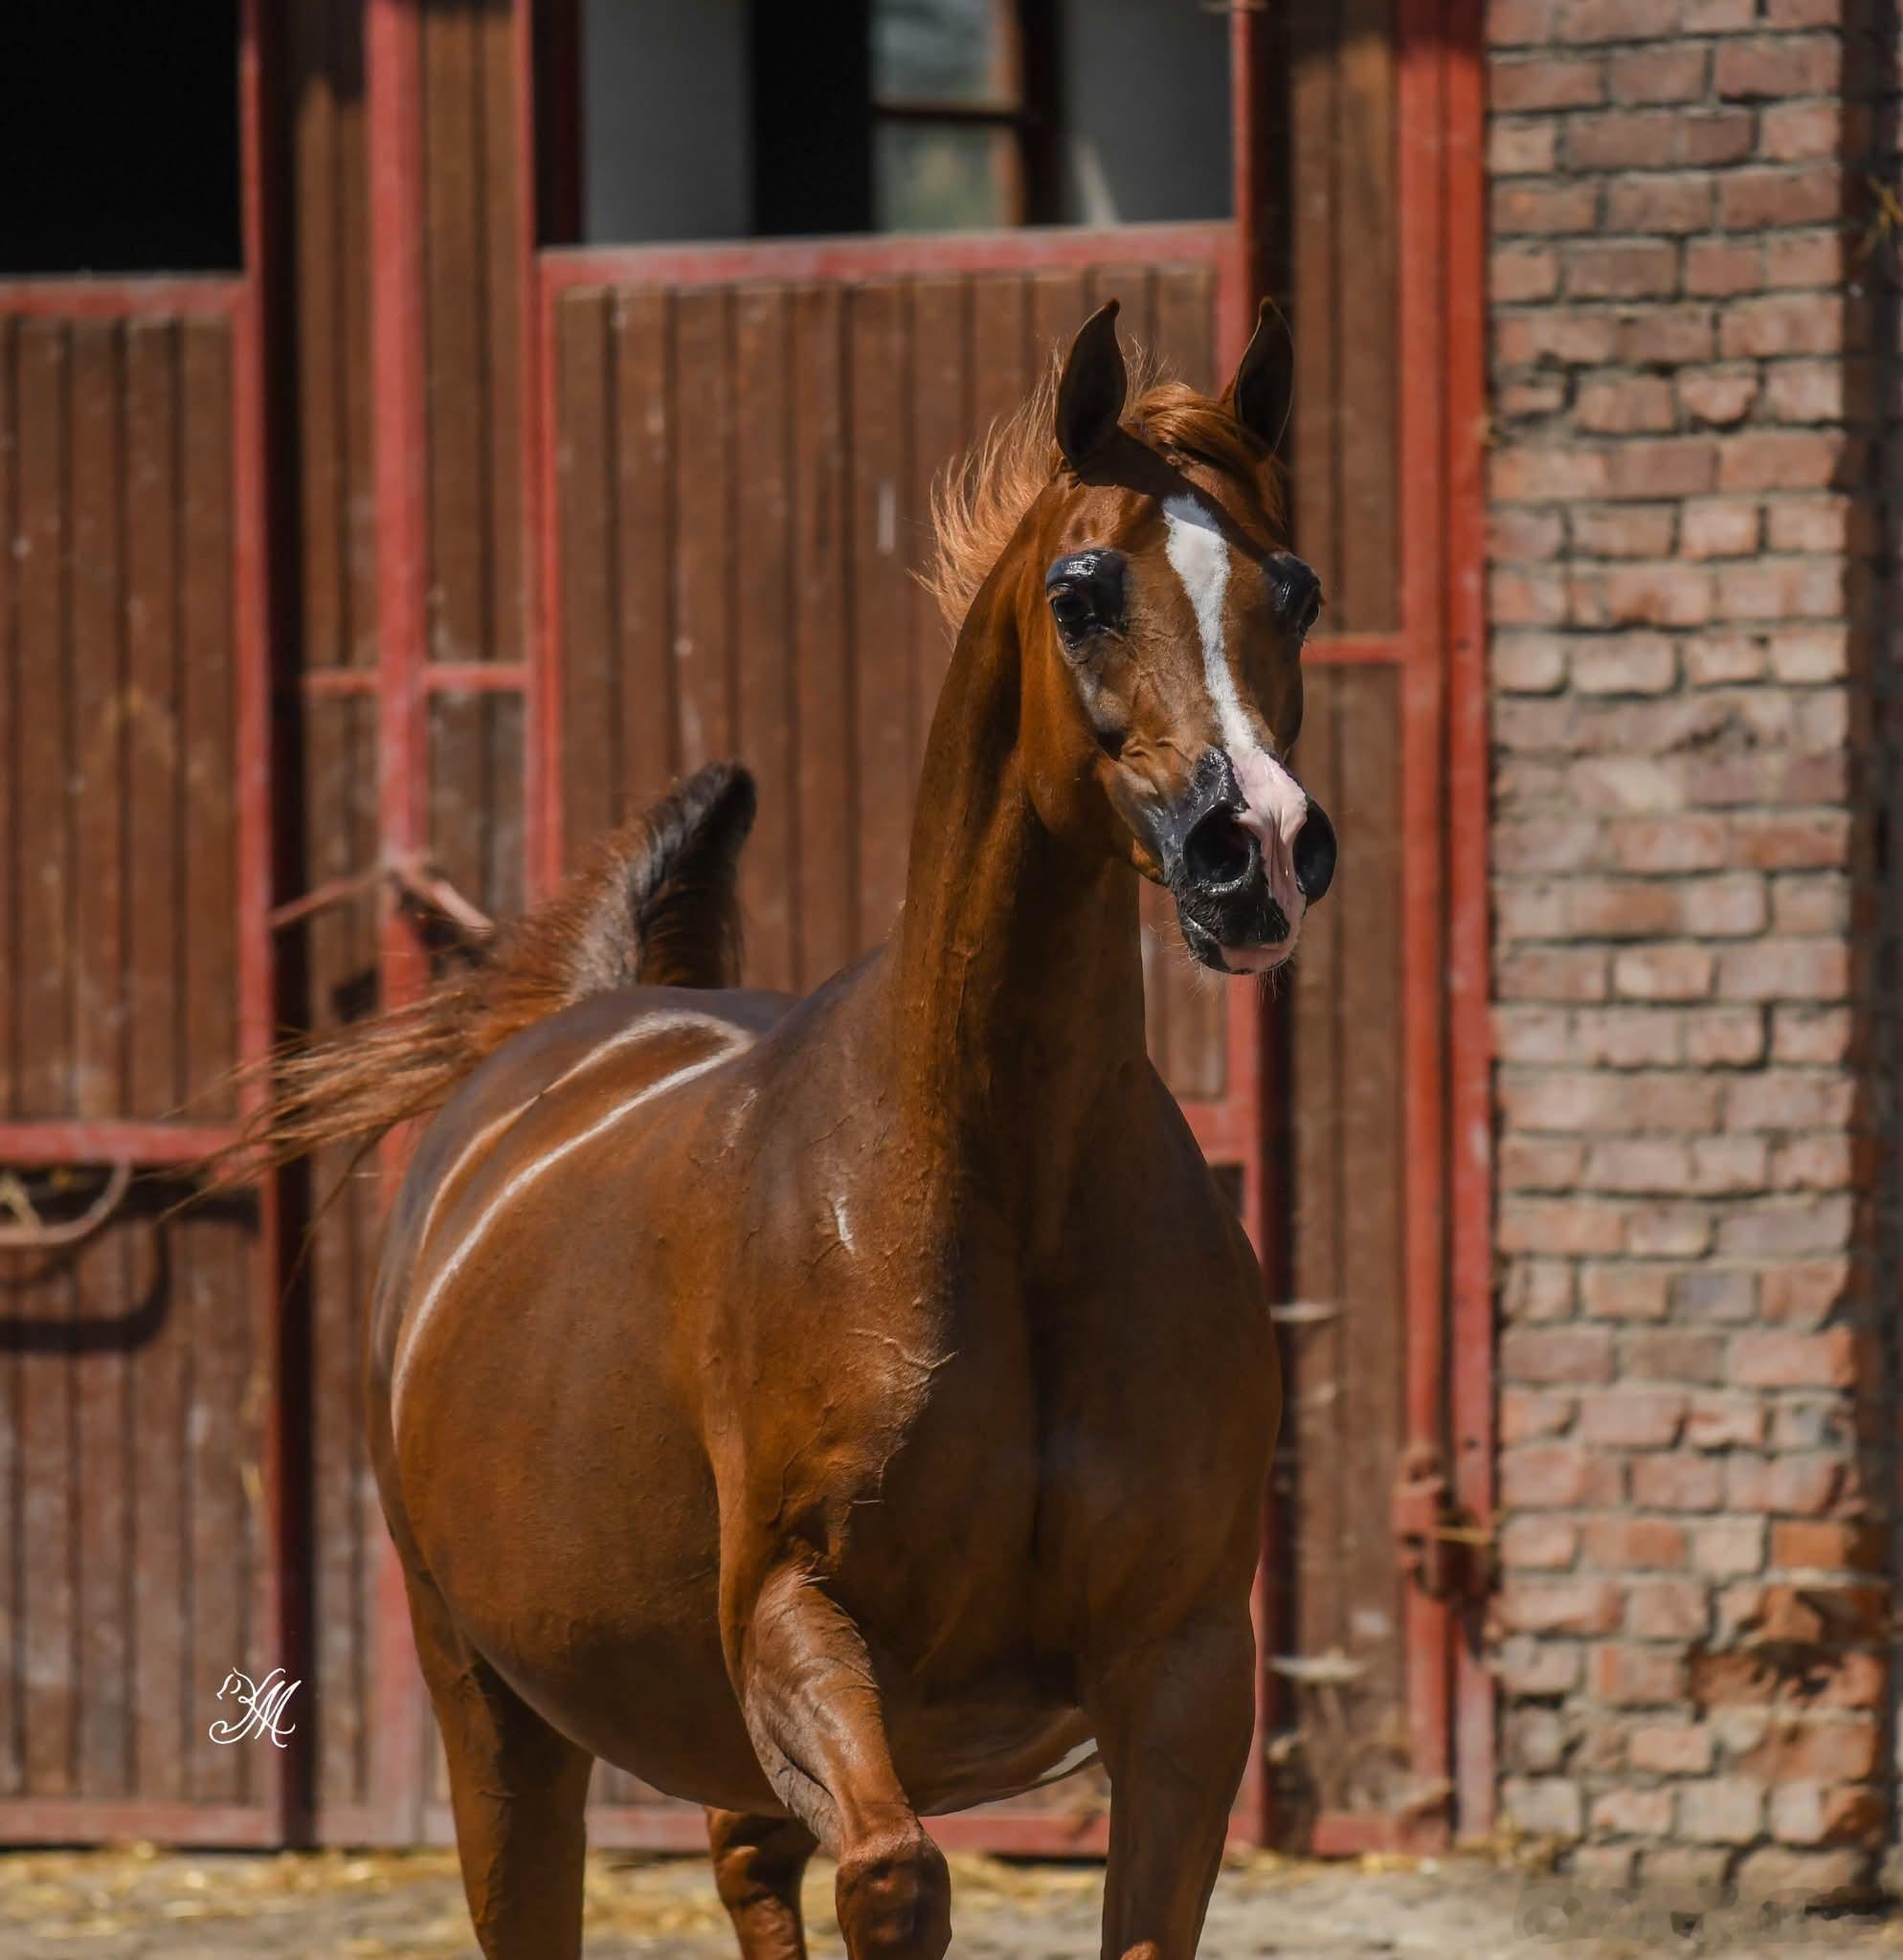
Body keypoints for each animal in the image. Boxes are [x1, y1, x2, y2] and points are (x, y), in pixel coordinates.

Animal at [247, 298, 1335, 1960]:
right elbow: (892, 1878)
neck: (989, 1185)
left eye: (1299, 591)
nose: (1258, 850)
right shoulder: (795, 1621)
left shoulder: (1187, 1671)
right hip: (494, 1710)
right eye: (1083, 592)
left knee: (748, 1866)